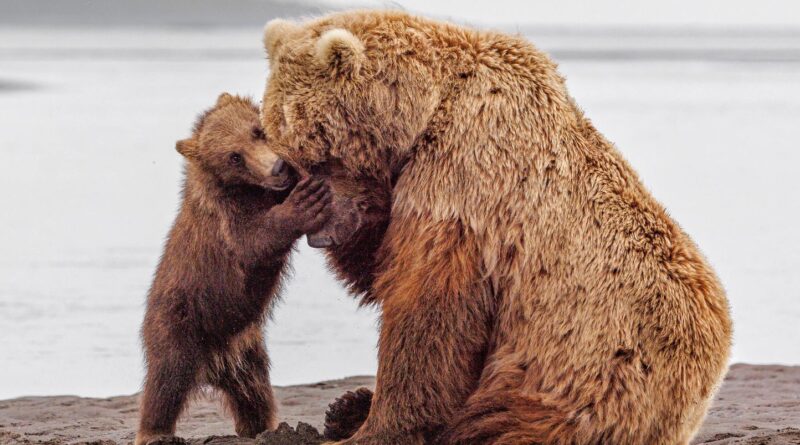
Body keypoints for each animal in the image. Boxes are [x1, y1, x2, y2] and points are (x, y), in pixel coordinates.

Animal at [260, 10, 732, 444]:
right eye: (282, 141)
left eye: (315, 150)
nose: (319, 234)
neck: (425, 112)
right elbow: (381, 266)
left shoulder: (467, 182)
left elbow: (428, 307)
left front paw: (380, 429)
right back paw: (347, 405)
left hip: (584, 378)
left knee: (502, 420)